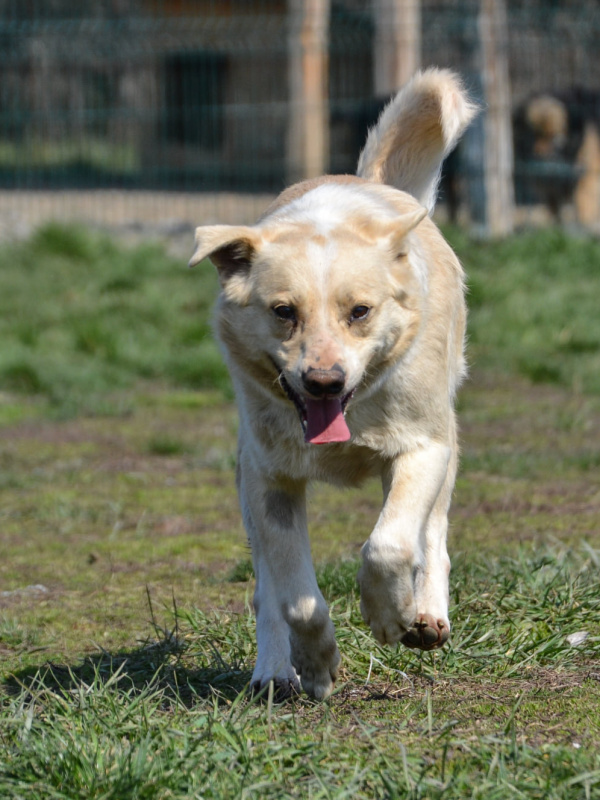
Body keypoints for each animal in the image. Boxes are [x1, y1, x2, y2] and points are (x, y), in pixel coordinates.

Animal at [190, 69, 480, 696]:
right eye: (283, 312)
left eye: (360, 312)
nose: (323, 380)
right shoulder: (269, 480)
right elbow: (294, 596)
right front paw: (317, 662)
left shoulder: (423, 449)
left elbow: (389, 544)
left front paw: (391, 618)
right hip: (246, 482)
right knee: (266, 591)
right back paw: (274, 671)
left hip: (446, 445)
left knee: (432, 536)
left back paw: (427, 615)